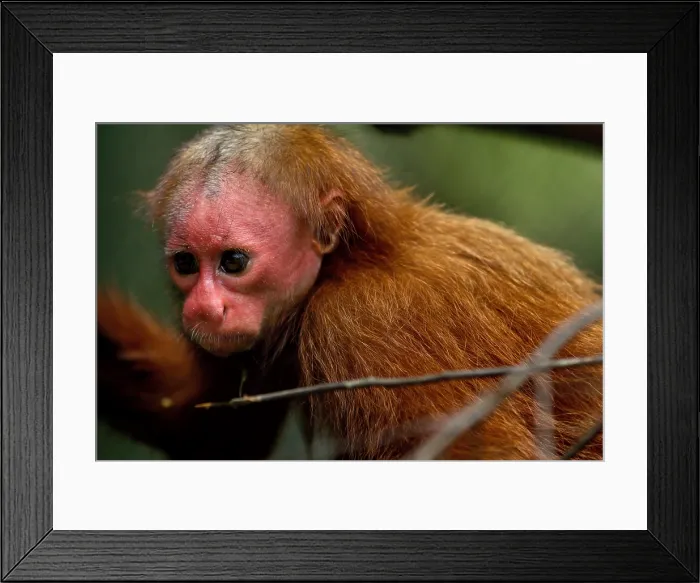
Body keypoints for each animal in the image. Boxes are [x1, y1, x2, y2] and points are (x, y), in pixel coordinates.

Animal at [98, 124, 603, 461]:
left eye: (233, 262)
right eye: (186, 264)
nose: (202, 308)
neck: (353, 260)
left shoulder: (365, 324)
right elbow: (218, 433)